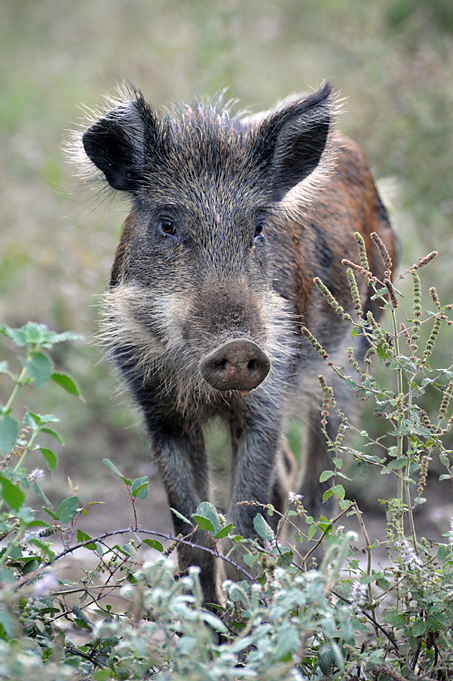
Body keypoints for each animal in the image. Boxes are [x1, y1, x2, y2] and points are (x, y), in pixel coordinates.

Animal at [78, 83, 397, 606]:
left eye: (258, 227)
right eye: (167, 224)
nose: (239, 348)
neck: (204, 389)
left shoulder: (266, 399)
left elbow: (246, 522)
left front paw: (242, 618)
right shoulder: (159, 411)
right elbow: (193, 531)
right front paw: (204, 618)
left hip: (351, 362)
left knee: (320, 486)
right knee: (289, 479)